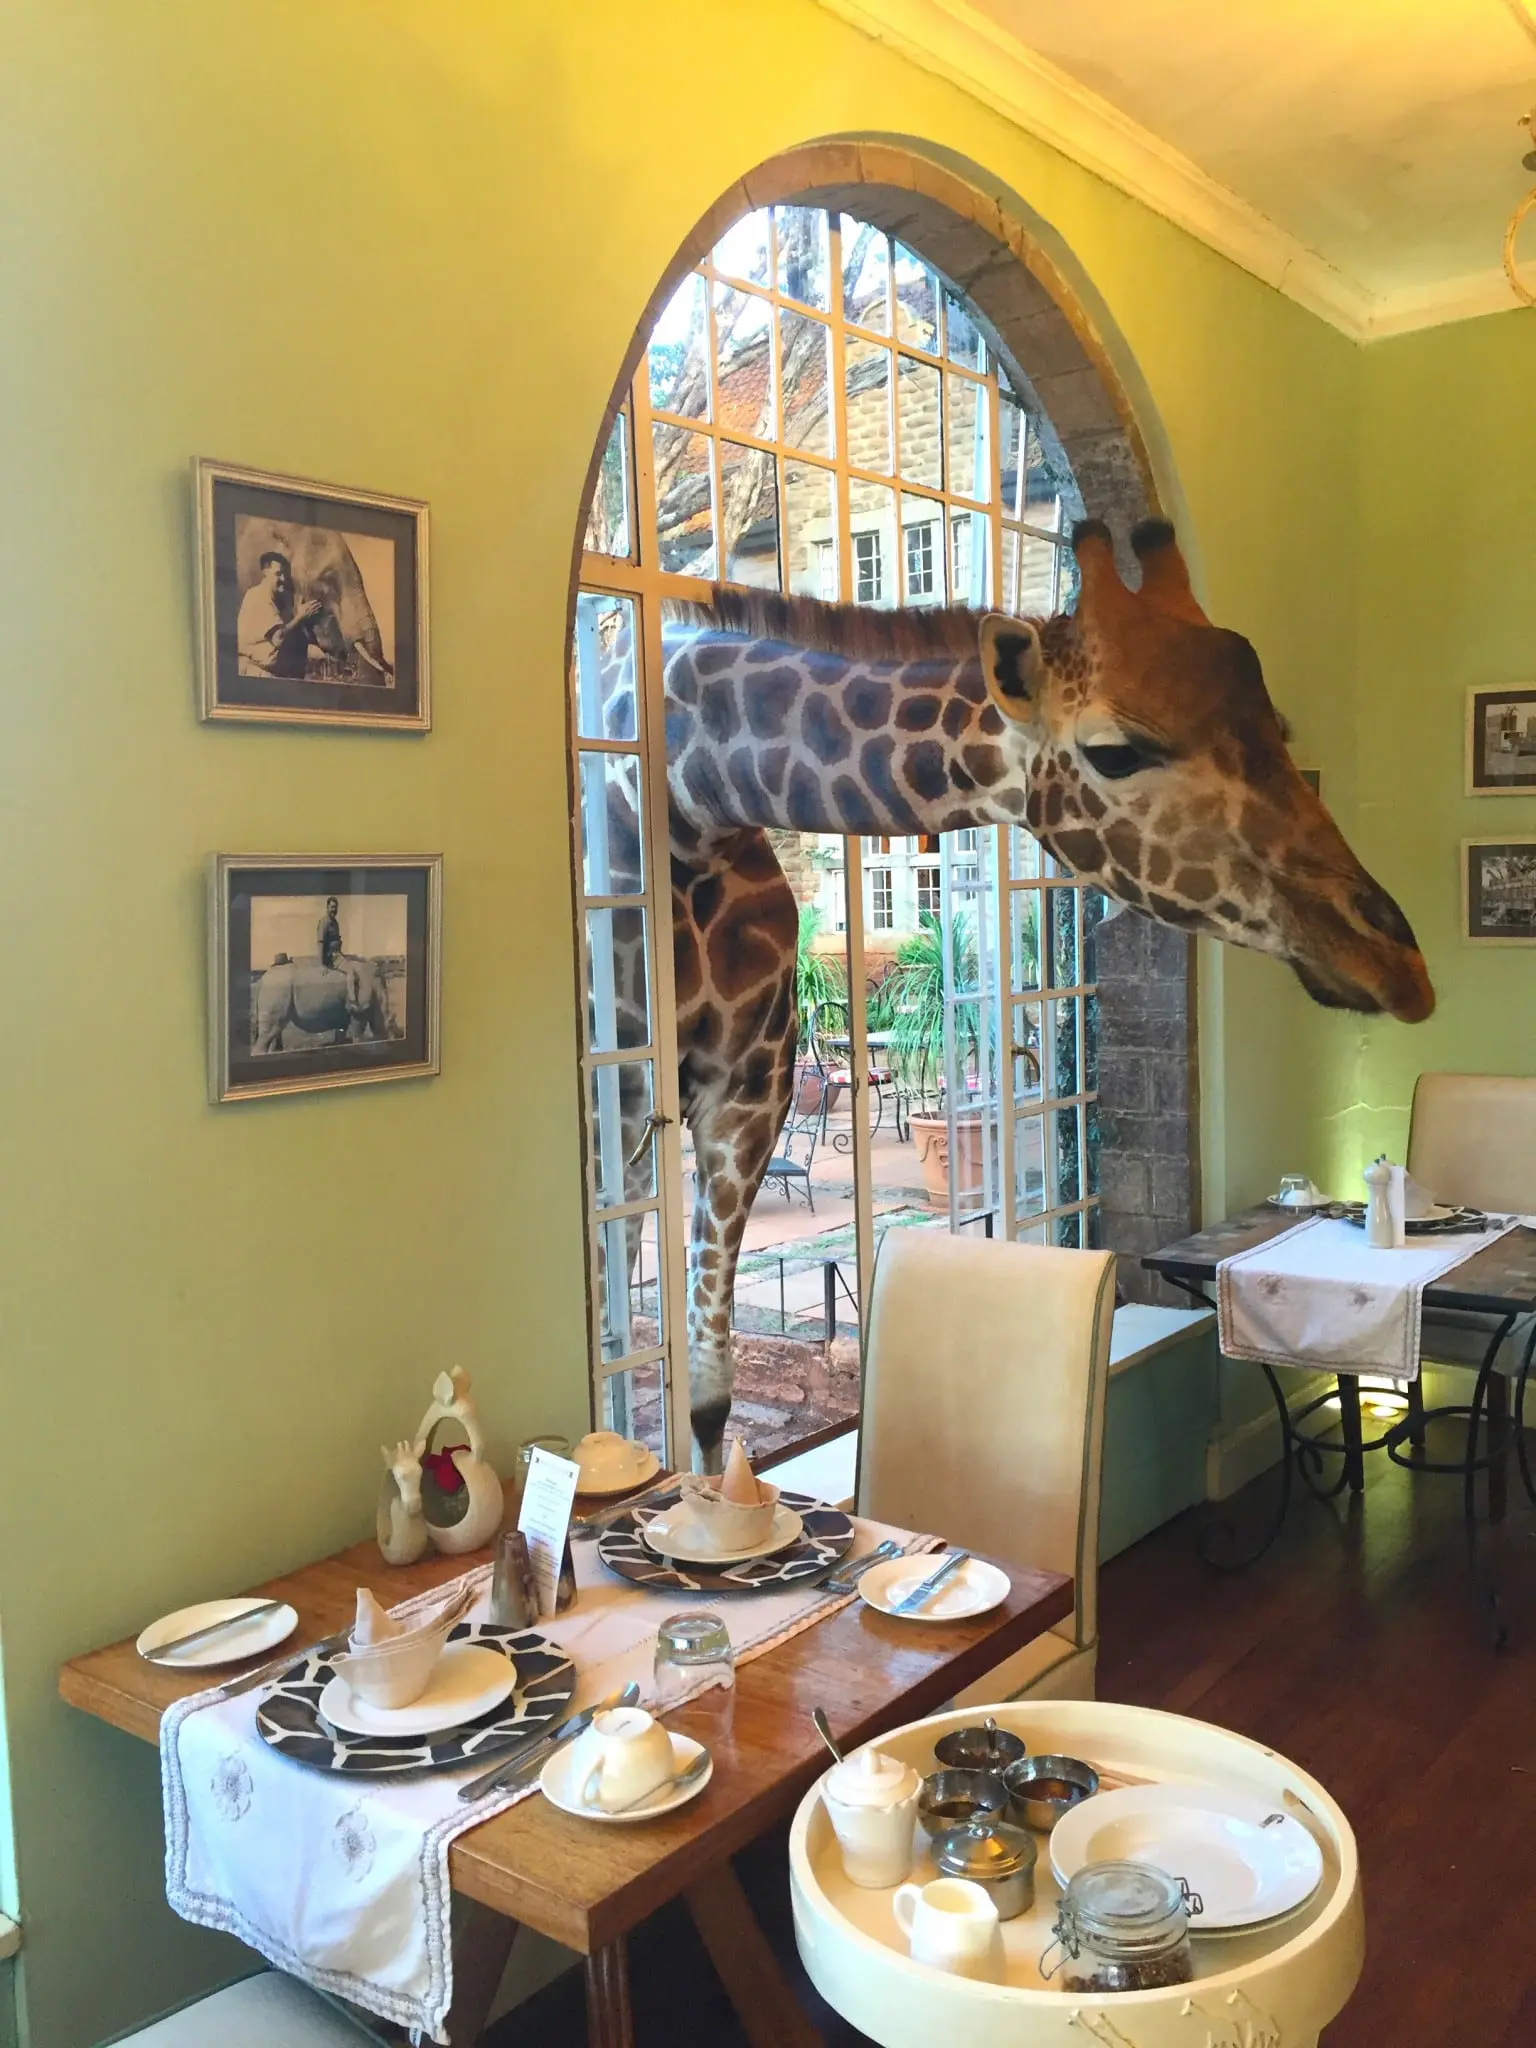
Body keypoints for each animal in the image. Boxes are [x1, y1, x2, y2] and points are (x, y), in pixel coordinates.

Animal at [601, 517, 1433, 1469]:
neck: (691, 792)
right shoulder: (624, 1102)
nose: (1397, 963)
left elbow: (706, 1396)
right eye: (1115, 751)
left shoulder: (751, 1089)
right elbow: (658, 1357)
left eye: (1280, 730)